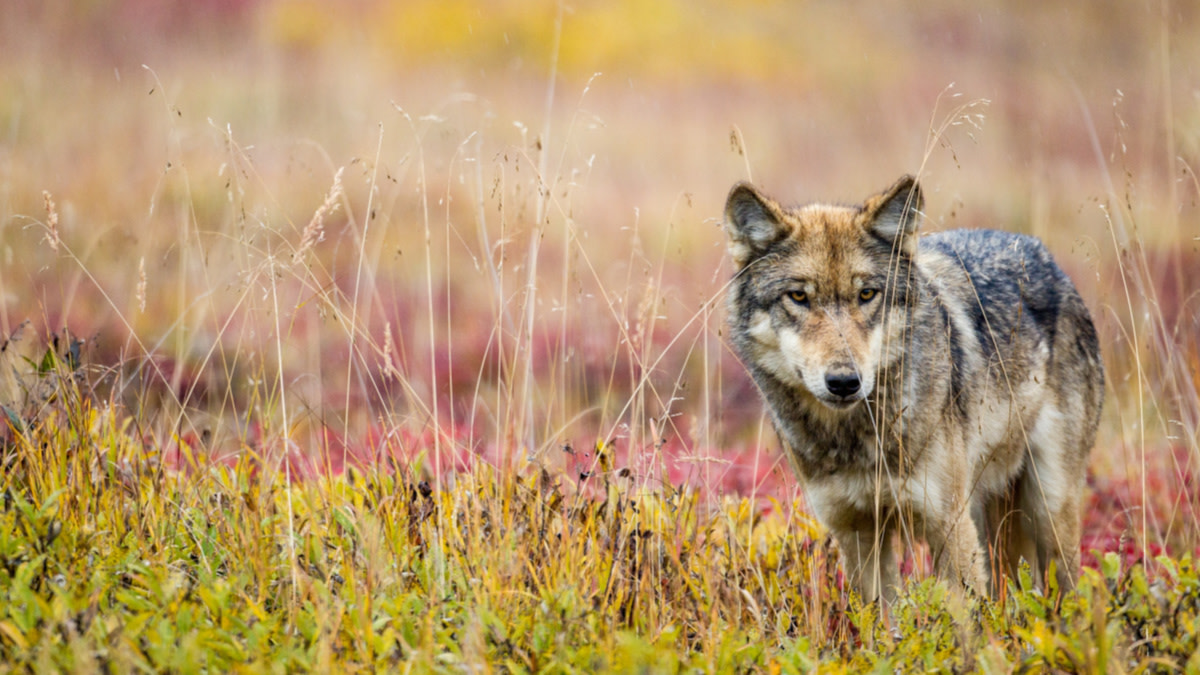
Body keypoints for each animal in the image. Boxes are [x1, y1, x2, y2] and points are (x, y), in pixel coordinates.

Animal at [723, 175, 1104, 603]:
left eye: (867, 294)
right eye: (799, 297)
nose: (844, 383)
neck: (854, 440)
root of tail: (1045, 256)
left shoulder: (949, 529)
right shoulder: (858, 536)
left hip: (1047, 512)